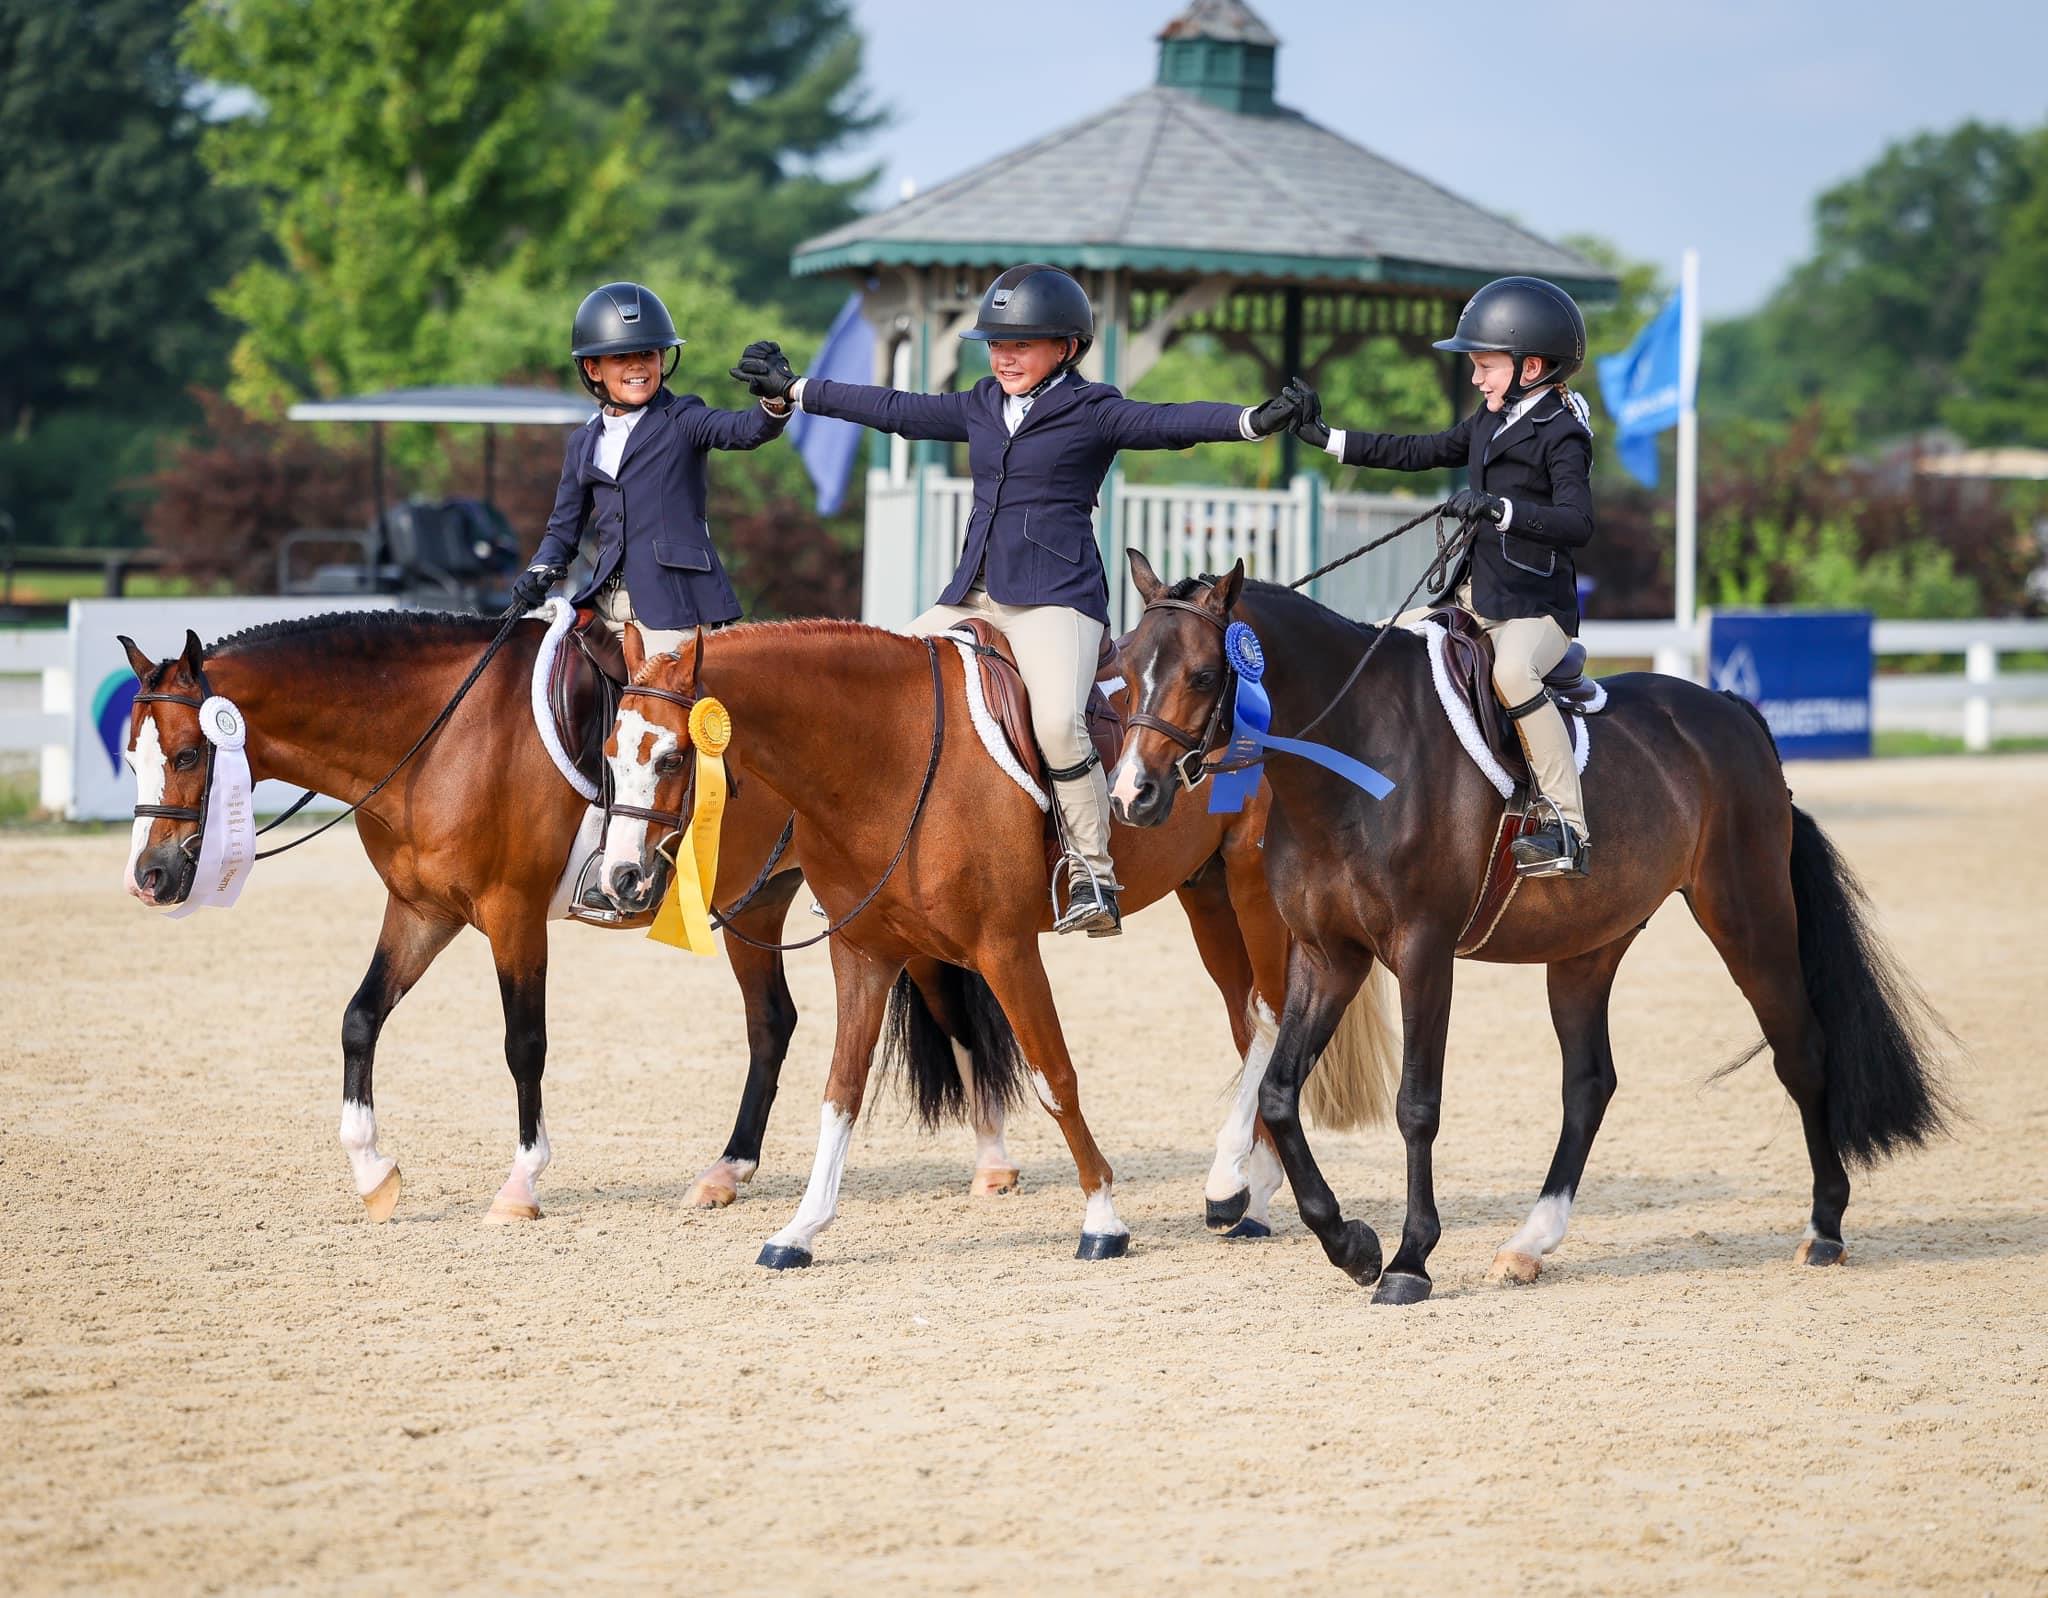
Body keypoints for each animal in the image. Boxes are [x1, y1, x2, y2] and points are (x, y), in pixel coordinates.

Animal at [119, 613, 807, 1223]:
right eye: (130, 761)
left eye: (186, 756)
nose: (149, 877)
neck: (440, 741)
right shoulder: (421, 911)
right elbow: (360, 1020)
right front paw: (373, 1175)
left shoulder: (514, 915)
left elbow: (524, 1044)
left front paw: (521, 1185)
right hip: (759, 900)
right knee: (771, 1022)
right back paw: (728, 1171)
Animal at [599, 619, 1399, 1267]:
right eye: (609, 752)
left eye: (673, 758)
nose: (621, 878)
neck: (890, 759)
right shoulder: (863, 956)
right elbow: (840, 1091)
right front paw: (801, 1229)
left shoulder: (1007, 950)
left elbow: (1054, 1077)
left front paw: (1102, 1219)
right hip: (1205, 894)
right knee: (1249, 1022)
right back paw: (1245, 1187)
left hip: (1254, 894)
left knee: (1269, 1017)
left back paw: (1240, 1187)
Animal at [1107, 552, 1955, 1304]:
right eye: (1125, 671)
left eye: (1204, 675)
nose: (1132, 796)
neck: (1351, 755)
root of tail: (1732, 712)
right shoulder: (1328, 956)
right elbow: (1282, 1094)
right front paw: (1352, 1246)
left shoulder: (1422, 953)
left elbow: (1417, 1105)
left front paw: (1409, 1261)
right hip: (1587, 949)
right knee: (1589, 1084)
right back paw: (1529, 1243)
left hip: (1746, 915)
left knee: (1801, 1051)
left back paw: (1825, 1228)